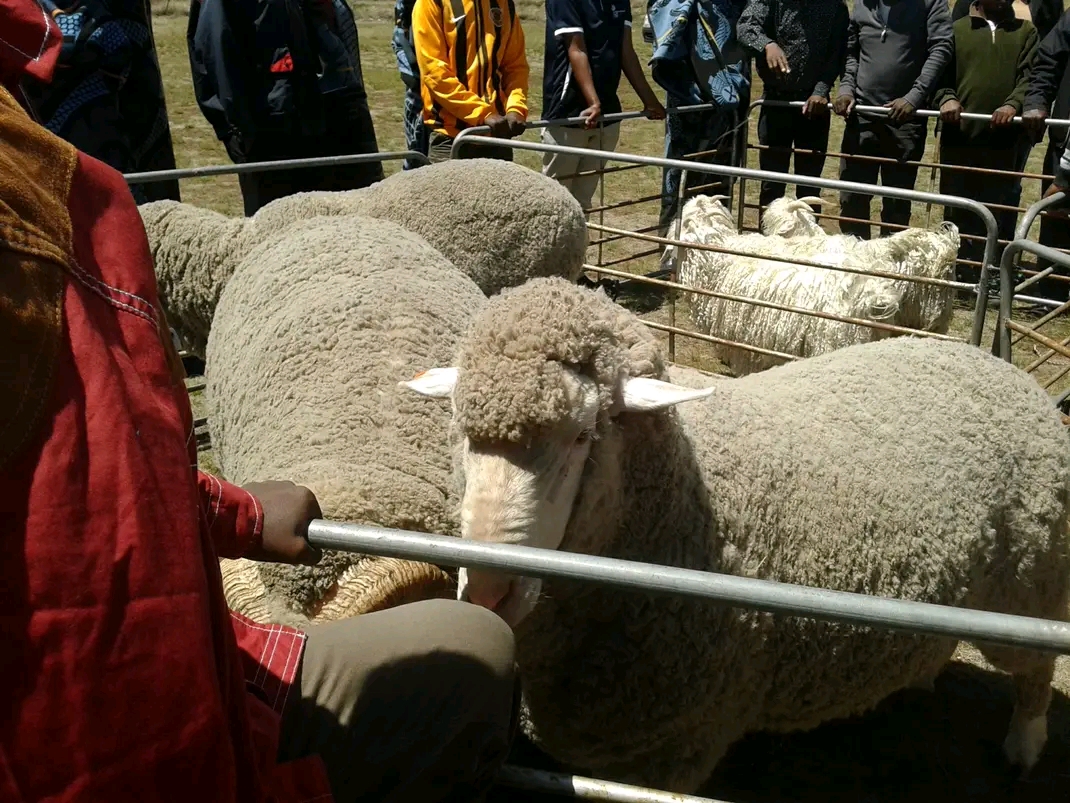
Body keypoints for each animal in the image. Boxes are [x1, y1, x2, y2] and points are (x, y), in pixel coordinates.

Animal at [401, 277, 1070, 794]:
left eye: (586, 434)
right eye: (461, 430)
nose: (489, 593)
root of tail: (997, 366)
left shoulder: (671, 751)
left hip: (1030, 586)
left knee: (1038, 665)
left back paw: (1025, 745)